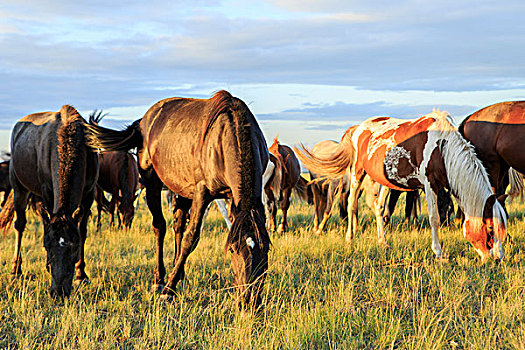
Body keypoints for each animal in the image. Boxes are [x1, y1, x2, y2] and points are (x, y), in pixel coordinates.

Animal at [0, 105, 98, 296]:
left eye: (75, 247)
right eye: (47, 247)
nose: (58, 292)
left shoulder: (89, 193)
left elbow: (82, 231)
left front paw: (81, 274)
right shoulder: (47, 191)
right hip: (19, 189)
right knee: (20, 225)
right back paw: (16, 270)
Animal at [87, 90, 270, 306]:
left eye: (266, 250)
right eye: (233, 250)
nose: (250, 300)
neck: (223, 139)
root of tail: (145, 120)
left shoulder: (231, 198)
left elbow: (187, 236)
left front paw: (175, 279)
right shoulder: (202, 193)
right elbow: (191, 237)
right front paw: (168, 291)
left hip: (182, 189)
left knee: (178, 225)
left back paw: (177, 271)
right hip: (151, 180)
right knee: (160, 226)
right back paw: (159, 280)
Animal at [298, 110, 508, 262]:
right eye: (490, 229)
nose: (497, 259)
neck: (442, 148)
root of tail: (357, 128)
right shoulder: (430, 184)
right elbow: (434, 218)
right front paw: (439, 253)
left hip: (383, 180)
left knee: (378, 208)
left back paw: (383, 242)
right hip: (358, 172)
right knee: (351, 204)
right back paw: (350, 240)